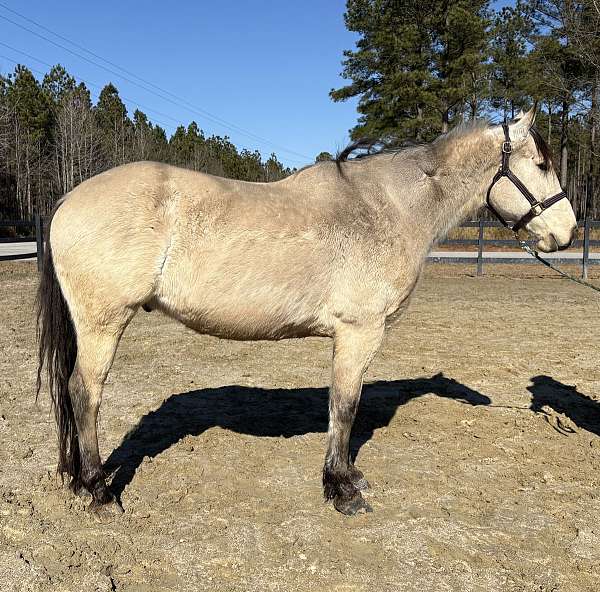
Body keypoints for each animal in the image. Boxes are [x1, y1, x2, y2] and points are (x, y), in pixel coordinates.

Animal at [36, 108, 576, 516]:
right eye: (542, 164)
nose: (566, 234)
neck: (387, 208)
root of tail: (68, 198)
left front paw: (348, 477)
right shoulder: (359, 333)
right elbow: (345, 405)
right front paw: (341, 488)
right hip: (103, 324)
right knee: (84, 394)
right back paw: (99, 491)